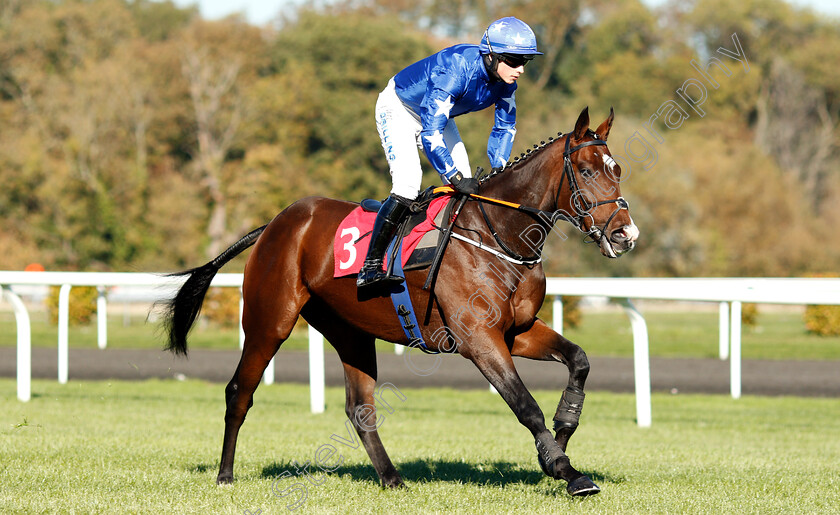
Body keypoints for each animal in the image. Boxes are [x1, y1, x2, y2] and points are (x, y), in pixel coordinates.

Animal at [162, 107, 636, 498]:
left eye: (617, 171)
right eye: (587, 171)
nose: (625, 235)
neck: (497, 234)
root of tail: (275, 224)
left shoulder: (516, 331)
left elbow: (579, 360)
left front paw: (564, 429)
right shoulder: (478, 339)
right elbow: (525, 406)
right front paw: (565, 469)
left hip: (350, 332)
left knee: (360, 408)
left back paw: (391, 477)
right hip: (269, 321)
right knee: (239, 391)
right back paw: (225, 475)